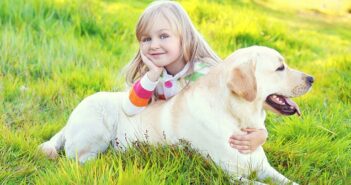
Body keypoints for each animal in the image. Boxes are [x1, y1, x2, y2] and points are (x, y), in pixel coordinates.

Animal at [40, 46, 314, 184]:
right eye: (280, 67)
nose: (312, 78)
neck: (237, 117)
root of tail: (70, 119)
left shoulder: (265, 169)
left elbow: (291, 183)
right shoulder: (231, 176)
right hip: (96, 127)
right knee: (78, 160)